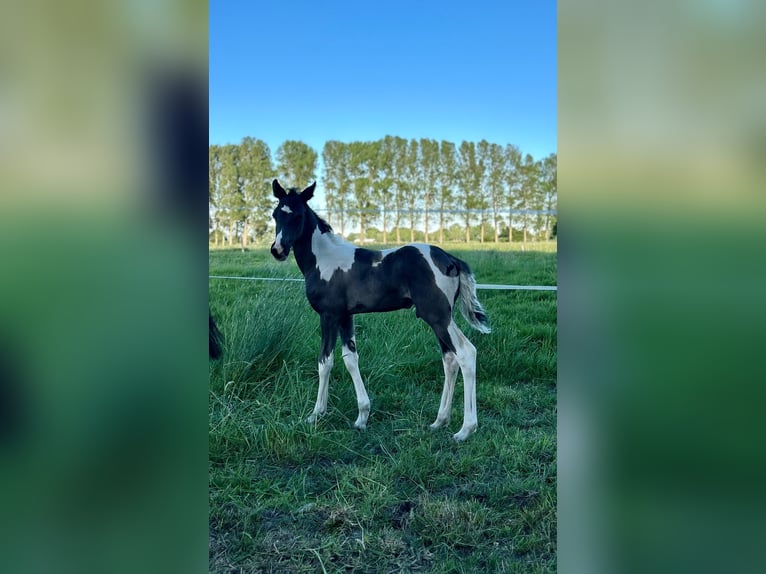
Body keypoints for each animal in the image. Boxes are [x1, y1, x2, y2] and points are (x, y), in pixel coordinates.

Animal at [269, 179, 490, 441]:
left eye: (298, 216)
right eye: (275, 214)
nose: (277, 250)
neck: (324, 260)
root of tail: (450, 259)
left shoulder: (329, 316)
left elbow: (325, 362)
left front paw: (316, 415)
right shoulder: (346, 317)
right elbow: (350, 359)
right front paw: (362, 417)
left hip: (438, 316)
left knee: (466, 353)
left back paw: (465, 430)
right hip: (440, 319)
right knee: (450, 360)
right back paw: (439, 421)